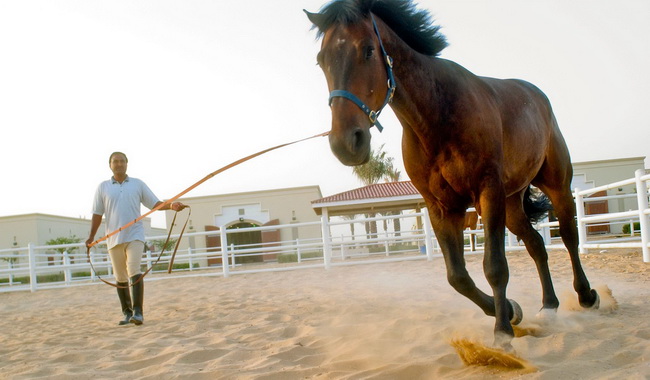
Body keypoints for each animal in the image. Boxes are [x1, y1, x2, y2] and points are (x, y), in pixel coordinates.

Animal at [306, 0, 600, 350]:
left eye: (367, 50)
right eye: (321, 60)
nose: (346, 143)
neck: (439, 114)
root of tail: (538, 97)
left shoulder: (487, 192)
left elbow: (494, 266)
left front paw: (502, 332)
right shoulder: (441, 207)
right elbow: (457, 277)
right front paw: (511, 311)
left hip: (555, 185)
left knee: (569, 236)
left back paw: (587, 296)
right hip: (512, 203)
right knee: (536, 246)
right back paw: (549, 306)